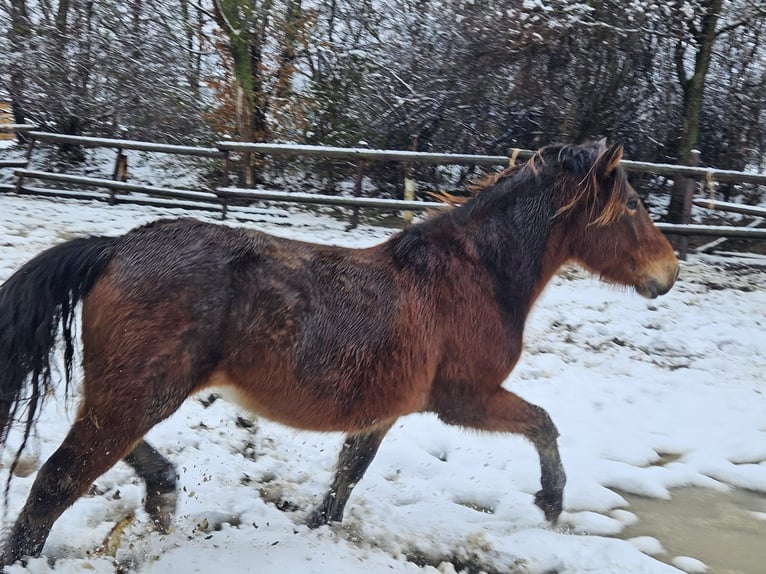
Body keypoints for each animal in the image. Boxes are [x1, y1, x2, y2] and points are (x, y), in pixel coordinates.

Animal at [0, 141, 680, 568]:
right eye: (635, 206)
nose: (669, 273)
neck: (475, 275)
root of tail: (115, 248)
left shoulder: (385, 409)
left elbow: (348, 474)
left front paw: (314, 528)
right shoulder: (465, 399)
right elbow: (543, 423)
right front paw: (552, 502)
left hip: (129, 392)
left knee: (111, 455)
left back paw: (165, 495)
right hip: (139, 393)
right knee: (56, 483)